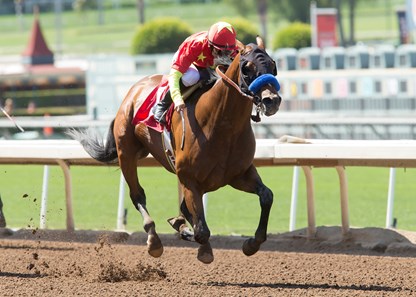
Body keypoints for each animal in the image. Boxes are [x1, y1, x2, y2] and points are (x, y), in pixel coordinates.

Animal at [70, 36, 282, 262]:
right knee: (138, 195)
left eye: (272, 65)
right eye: (247, 67)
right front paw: (202, 248)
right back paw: (154, 239)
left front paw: (251, 243)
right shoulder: (190, 179)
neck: (222, 124)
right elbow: (201, 230)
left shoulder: (238, 174)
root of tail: (134, 90)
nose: (272, 100)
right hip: (126, 153)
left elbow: (267, 196)